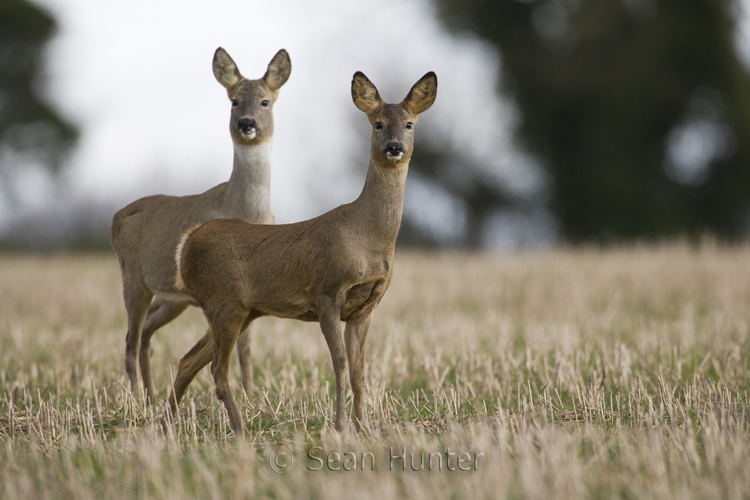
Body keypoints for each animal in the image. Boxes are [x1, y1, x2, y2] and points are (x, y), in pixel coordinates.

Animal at [110, 47, 292, 402]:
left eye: (265, 101)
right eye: (234, 101)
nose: (246, 123)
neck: (245, 210)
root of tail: (116, 216)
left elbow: (246, 349)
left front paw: (250, 394)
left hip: (171, 298)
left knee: (145, 336)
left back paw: (151, 397)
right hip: (134, 279)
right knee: (130, 340)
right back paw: (137, 401)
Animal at [171, 70, 438, 438]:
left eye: (410, 124)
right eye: (378, 124)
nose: (394, 147)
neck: (368, 239)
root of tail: (187, 244)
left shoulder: (366, 306)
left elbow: (360, 370)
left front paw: (366, 427)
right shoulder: (327, 291)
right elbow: (339, 363)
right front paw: (341, 425)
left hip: (239, 310)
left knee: (188, 361)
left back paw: (163, 424)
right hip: (224, 303)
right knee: (217, 371)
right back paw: (240, 431)